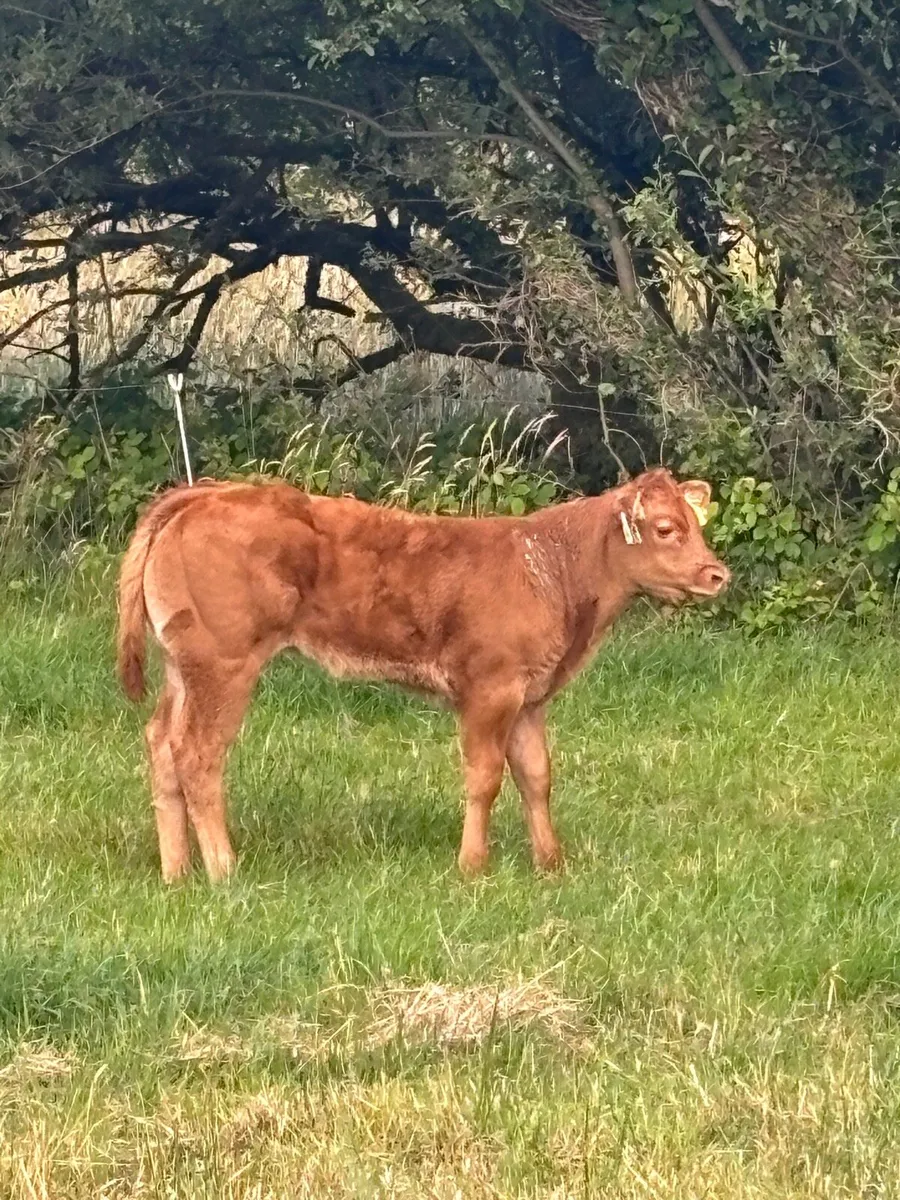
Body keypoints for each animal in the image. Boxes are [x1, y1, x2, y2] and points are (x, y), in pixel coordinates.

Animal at [116, 467, 729, 883]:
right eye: (666, 528)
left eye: (696, 524)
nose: (716, 574)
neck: (553, 569)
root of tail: (208, 492)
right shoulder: (490, 689)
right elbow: (484, 777)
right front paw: (472, 865)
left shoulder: (530, 697)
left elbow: (536, 776)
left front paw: (551, 862)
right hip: (224, 663)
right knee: (198, 753)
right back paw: (224, 869)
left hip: (182, 665)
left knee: (161, 742)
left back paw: (177, 873)